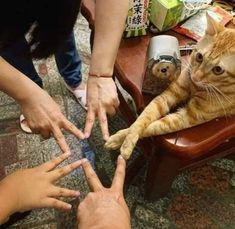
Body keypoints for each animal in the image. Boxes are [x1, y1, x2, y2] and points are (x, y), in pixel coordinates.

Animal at [105, 14, 235, 159]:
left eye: (218, 70)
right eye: (199, 57)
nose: (195, 77)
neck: (196, 87)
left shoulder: (188, 116)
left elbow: (153, 127)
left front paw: (122, 142)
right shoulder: (170, 94)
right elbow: (142, 119)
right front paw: (124, 138)